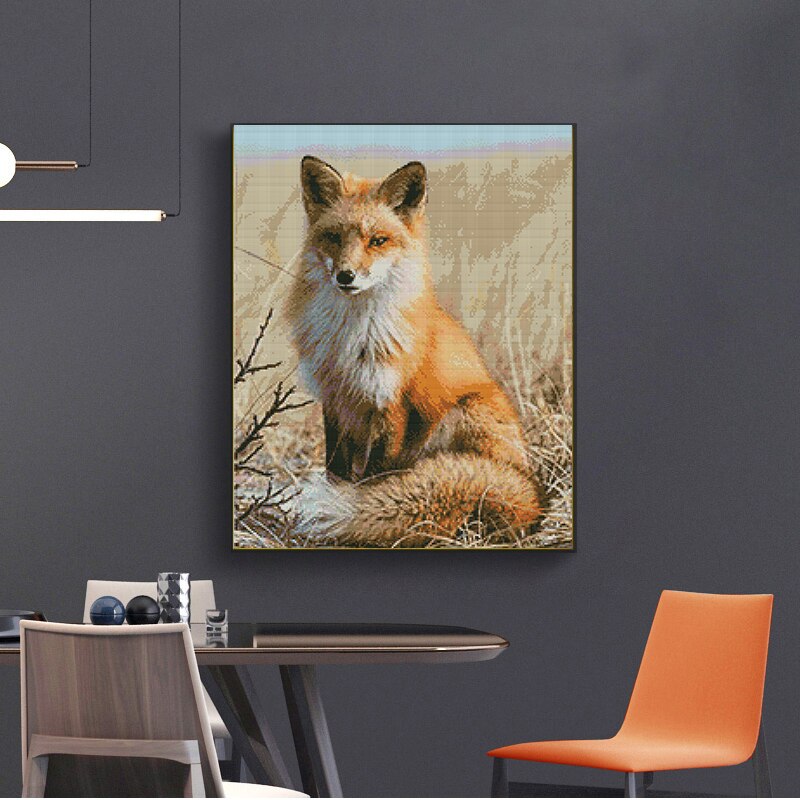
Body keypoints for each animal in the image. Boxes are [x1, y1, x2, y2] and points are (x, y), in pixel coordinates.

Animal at [286, 155, 542, 546]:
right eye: (334, 237)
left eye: (377, 241)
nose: (345, 276)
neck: (354, 337)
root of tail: (532, 493)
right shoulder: (336, 400)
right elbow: (335, 467)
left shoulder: (392, 404)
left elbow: (375, 476)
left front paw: (359, 510)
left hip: (462, 413)